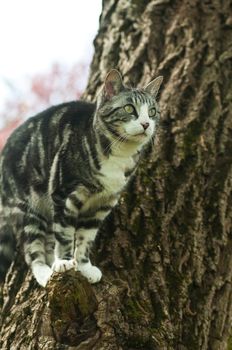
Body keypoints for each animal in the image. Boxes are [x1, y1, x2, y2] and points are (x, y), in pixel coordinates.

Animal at [0, 69, 163, 288]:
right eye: (129, 108)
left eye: (152, 112)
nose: (146, 124)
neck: (120, 154)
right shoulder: (63, 192)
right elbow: (65, 234)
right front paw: (64, 261)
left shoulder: (102, 205)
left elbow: (85, 239)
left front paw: (84, 267)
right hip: (27, 209)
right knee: (32, 250)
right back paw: (46, 273)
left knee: (50, 239)